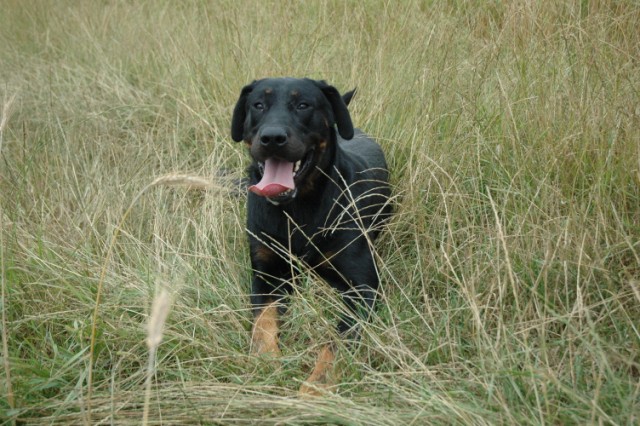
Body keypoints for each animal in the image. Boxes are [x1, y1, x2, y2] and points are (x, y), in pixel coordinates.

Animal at [230, 78, 390, 394]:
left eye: (303, 105)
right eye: (258, 105)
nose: (272, 137)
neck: (297, 210)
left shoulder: (363, 288)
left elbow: (337, 341)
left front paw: (315, 385)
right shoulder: (267, 275)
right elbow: (262, 324)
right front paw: (266, 364)